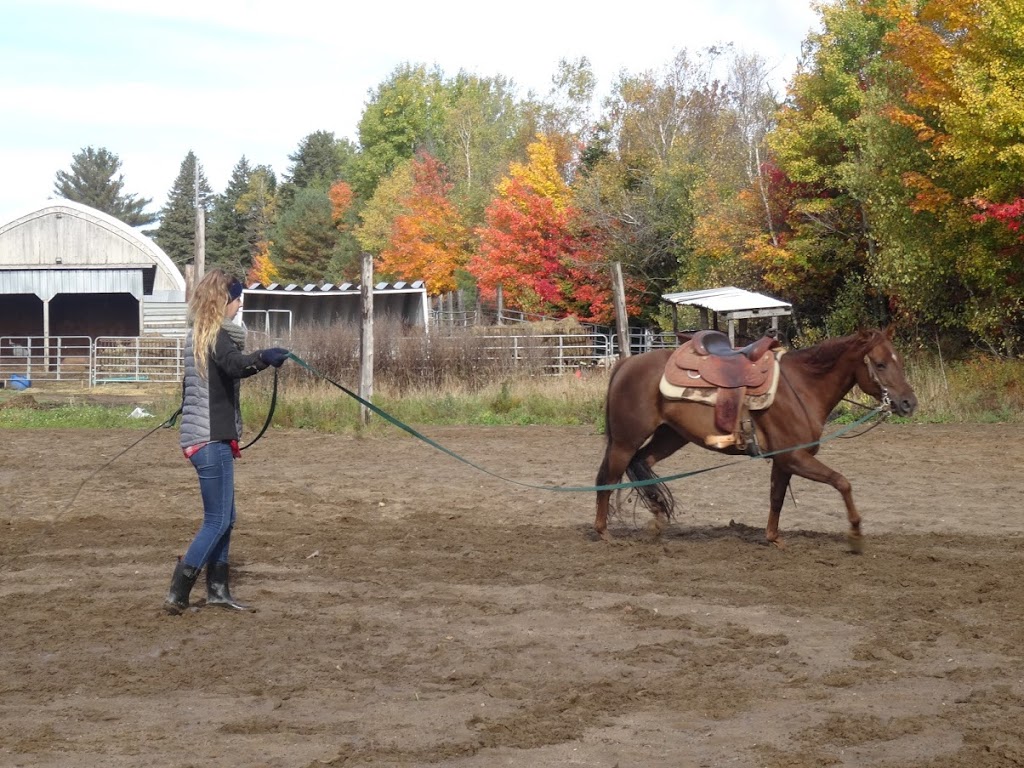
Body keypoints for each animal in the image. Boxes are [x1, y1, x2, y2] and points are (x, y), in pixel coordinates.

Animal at [593, 327, 921, 548]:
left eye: (899, 361)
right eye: (880, 364)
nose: (908, 403)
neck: (801, 386)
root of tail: (626, 364)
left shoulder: (784, 461)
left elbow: (777, 497)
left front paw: (773, 538)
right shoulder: (794, 456)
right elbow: (842, 482)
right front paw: (855, 532)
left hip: (670, 436)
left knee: (642, 465)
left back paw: (658, 519)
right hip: (625, 440)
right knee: (608, 478)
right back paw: (603, 532)